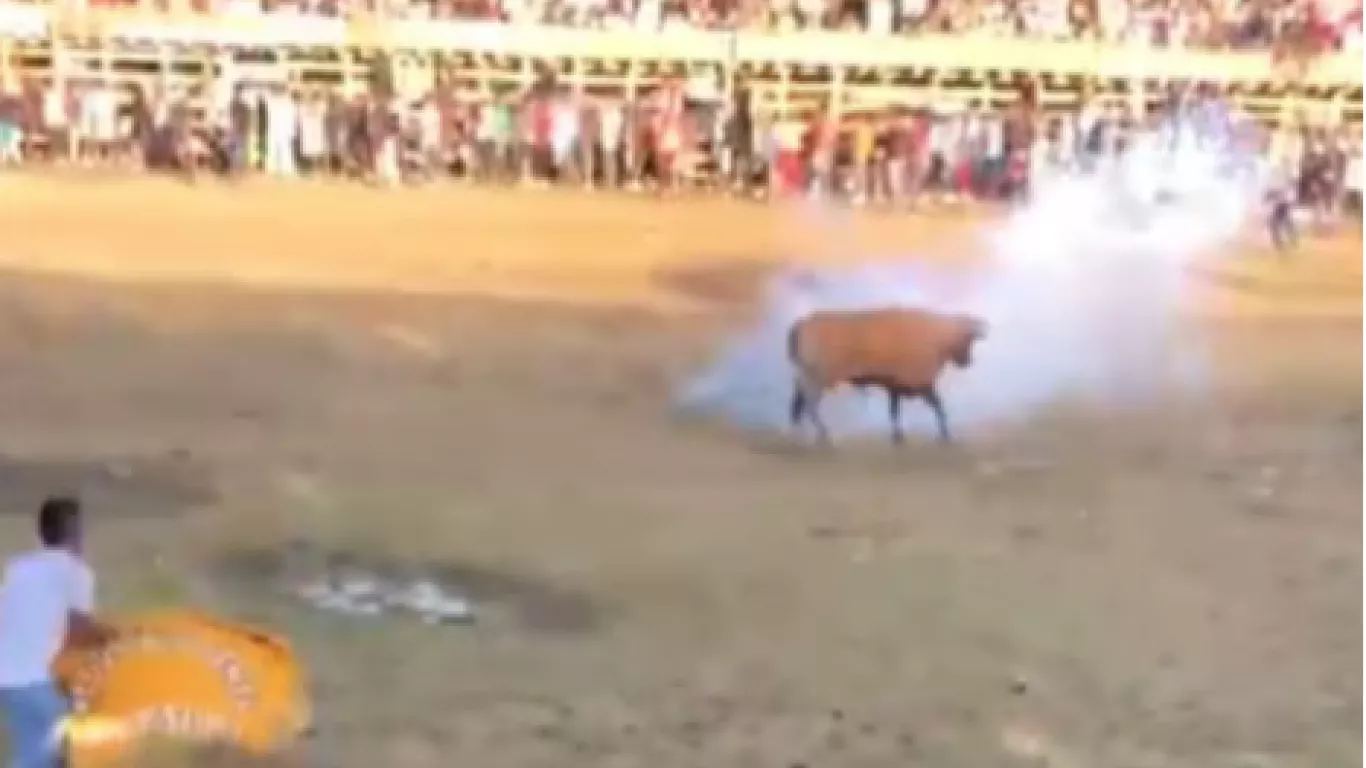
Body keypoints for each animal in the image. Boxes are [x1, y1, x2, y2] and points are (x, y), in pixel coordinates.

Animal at [786, 306, 988, 442]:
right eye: (968, 339)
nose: (967, 362)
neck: (938, 338)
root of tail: (801, 324)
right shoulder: (921, 384)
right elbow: (938, 406)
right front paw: (946, 435)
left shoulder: (895, 385)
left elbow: (894, 410)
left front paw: (898, 436)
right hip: (818, 377)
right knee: (810, 403)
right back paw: (823, 435)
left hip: (807, 375)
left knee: (799, 400)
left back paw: (798, 431)